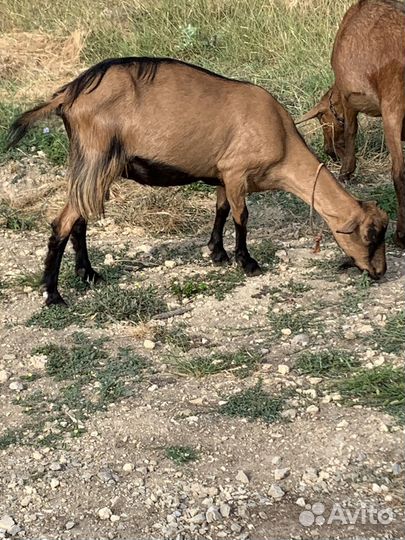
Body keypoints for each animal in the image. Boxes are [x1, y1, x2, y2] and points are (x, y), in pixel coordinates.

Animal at [7, 58, 388, 306]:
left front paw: (217, 253)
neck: (281, 138)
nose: (380, 272)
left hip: (91, 168)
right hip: (97, 160)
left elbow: (221, 210)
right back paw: (53, 295)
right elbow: (241, 217)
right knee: (62, 223)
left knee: (79, 220)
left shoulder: (222, 174)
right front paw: (247, 262)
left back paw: (89, 275)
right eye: (371, 235)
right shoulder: (236, 172)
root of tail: (68, 95)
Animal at [296, 0, 404, 247]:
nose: (329, 151)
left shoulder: (348, 95)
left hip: (393, 108)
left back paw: (401, 235)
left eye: (323, 119)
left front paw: (346, 171)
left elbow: (351, 130)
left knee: (399, 173)